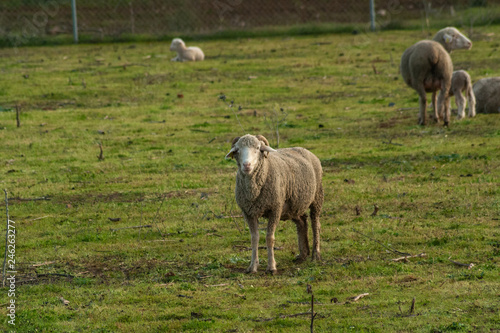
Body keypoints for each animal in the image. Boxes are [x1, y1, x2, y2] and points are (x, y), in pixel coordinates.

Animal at [227, 134, 324, 274]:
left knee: (315, 224)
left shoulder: (275, 209)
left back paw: (315, 255)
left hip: (317, 197)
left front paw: (271, 267)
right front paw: (252, 266)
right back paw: (303, 254)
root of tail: (304, 149)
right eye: (238, 150)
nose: (246, 165)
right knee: (302, 222)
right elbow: (254, 238)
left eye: (258, 148)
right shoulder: (248, 213)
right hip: (293, 206)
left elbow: (269, 238)